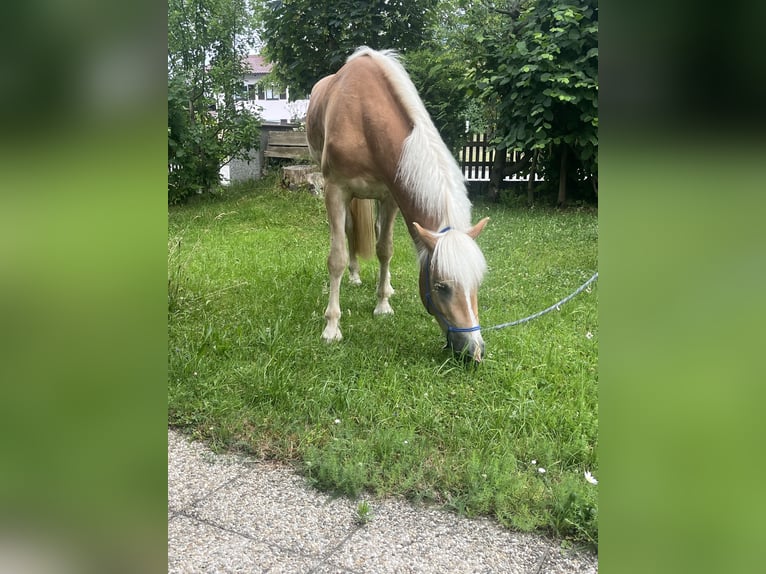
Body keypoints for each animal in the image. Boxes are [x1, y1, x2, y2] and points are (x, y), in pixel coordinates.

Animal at [308, 48, 492, 364]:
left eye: (476, 282)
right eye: (441, 286)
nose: (474, 351)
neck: (363, 116)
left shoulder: (391, 194)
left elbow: (385, 249)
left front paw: (383, 304)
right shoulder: (335, 191)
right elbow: (337, 258)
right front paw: (332, 326)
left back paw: (387, 285)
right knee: (350, 230)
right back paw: (354, 276)